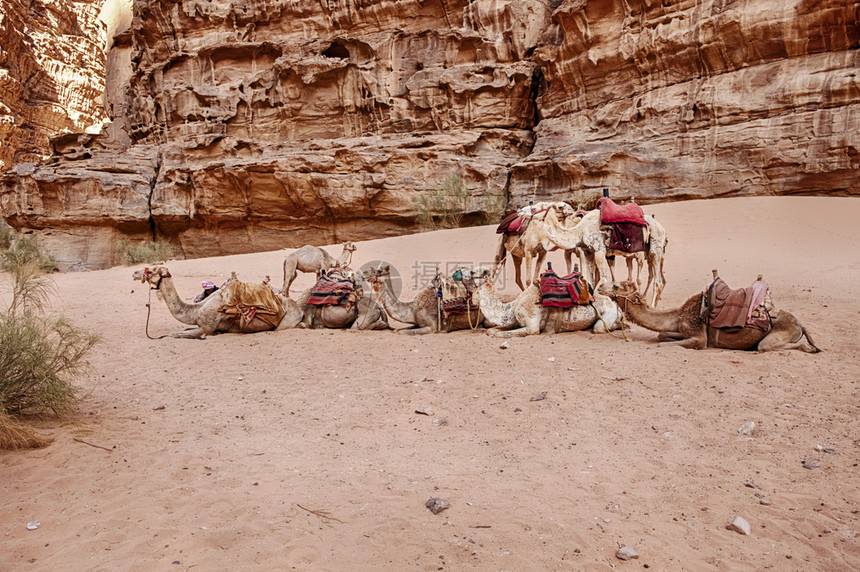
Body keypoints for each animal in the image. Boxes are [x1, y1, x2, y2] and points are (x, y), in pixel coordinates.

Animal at [134, 264, 306, 338]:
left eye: (151, 270)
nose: (134, 273)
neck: (196, 310)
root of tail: (299, 308)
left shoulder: (207, 328)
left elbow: (175, 334)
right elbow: (182, 331)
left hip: (286, 321)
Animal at [460, 268, 620, 336]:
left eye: (473, 272)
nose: (459, 271)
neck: (511, 307)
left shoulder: (532, 326)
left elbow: (500, 334)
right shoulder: (514, 321)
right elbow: (491, 331)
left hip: (608, 314)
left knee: (599, 327)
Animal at [600, 282, 824, 354]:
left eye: (617, 285)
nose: (600, 286)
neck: (679, 314)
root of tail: (799, 323)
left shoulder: (700, 337)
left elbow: (663, 344)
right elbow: (662, 336)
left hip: (779, 333)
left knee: (766, 346)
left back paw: (809, 348)